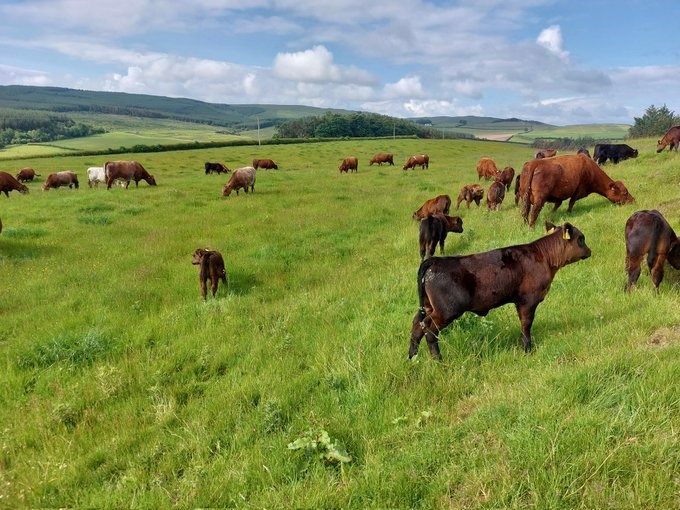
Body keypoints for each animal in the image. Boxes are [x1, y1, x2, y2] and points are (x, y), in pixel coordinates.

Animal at [409, 221, 591, 359]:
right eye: (581, 239)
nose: (590, 251)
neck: (544, 257)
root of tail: (436, 261)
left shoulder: (519, 301)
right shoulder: (528, 300)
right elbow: (526, 324)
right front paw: (528, 350)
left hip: (427, 306)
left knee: (417, 325)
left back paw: (413, 358)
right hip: (446, 311)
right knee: (429, 329)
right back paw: (438, 360)